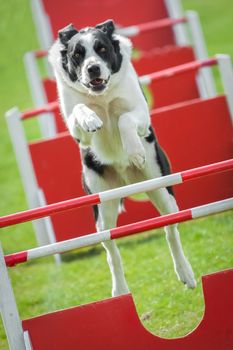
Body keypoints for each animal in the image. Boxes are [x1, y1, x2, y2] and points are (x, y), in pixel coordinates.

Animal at [49, 19, 197, 296]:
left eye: (102, 49)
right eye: (77, 54)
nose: (93, 68)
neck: (102, 96)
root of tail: (127, 181)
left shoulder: (139, 112)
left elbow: (125, 119)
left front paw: (135, 152)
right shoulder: (78, 132)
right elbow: (80, 110)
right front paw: (91, 118)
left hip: (162, 190)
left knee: (170, 229)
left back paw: (185, 273)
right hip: (102, 207)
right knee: (111, 250)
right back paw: (119, 291)